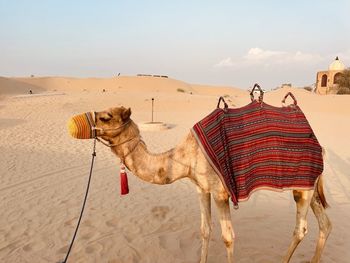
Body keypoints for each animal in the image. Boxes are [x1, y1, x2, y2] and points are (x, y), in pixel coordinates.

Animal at [92, 106, 330, 262]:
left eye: (106, 117)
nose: (89, 124)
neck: (185, 157)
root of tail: (320, 146)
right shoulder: (201, 188)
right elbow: (205, 230)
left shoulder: (220, 192)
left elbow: (228, 237)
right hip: (309, 185)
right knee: (325, 224)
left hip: (303, 185)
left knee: (300, 229)